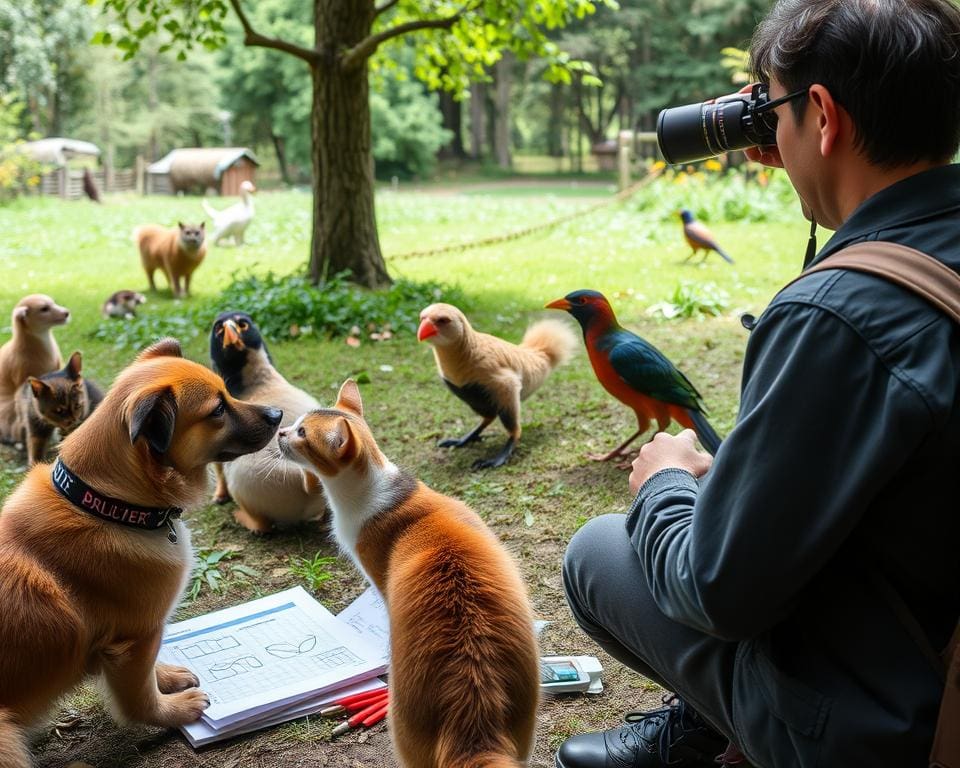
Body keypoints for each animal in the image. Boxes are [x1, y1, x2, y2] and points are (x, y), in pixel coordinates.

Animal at [0, 340, 284, 764]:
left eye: (227, 392)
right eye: (217, 410)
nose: (278, 414)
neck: (107, 504)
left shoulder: (138, 646)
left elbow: (149, 672)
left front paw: (166, 675)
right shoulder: (135, 640)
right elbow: (140, 699)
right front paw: (174, 710)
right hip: (6, 739)